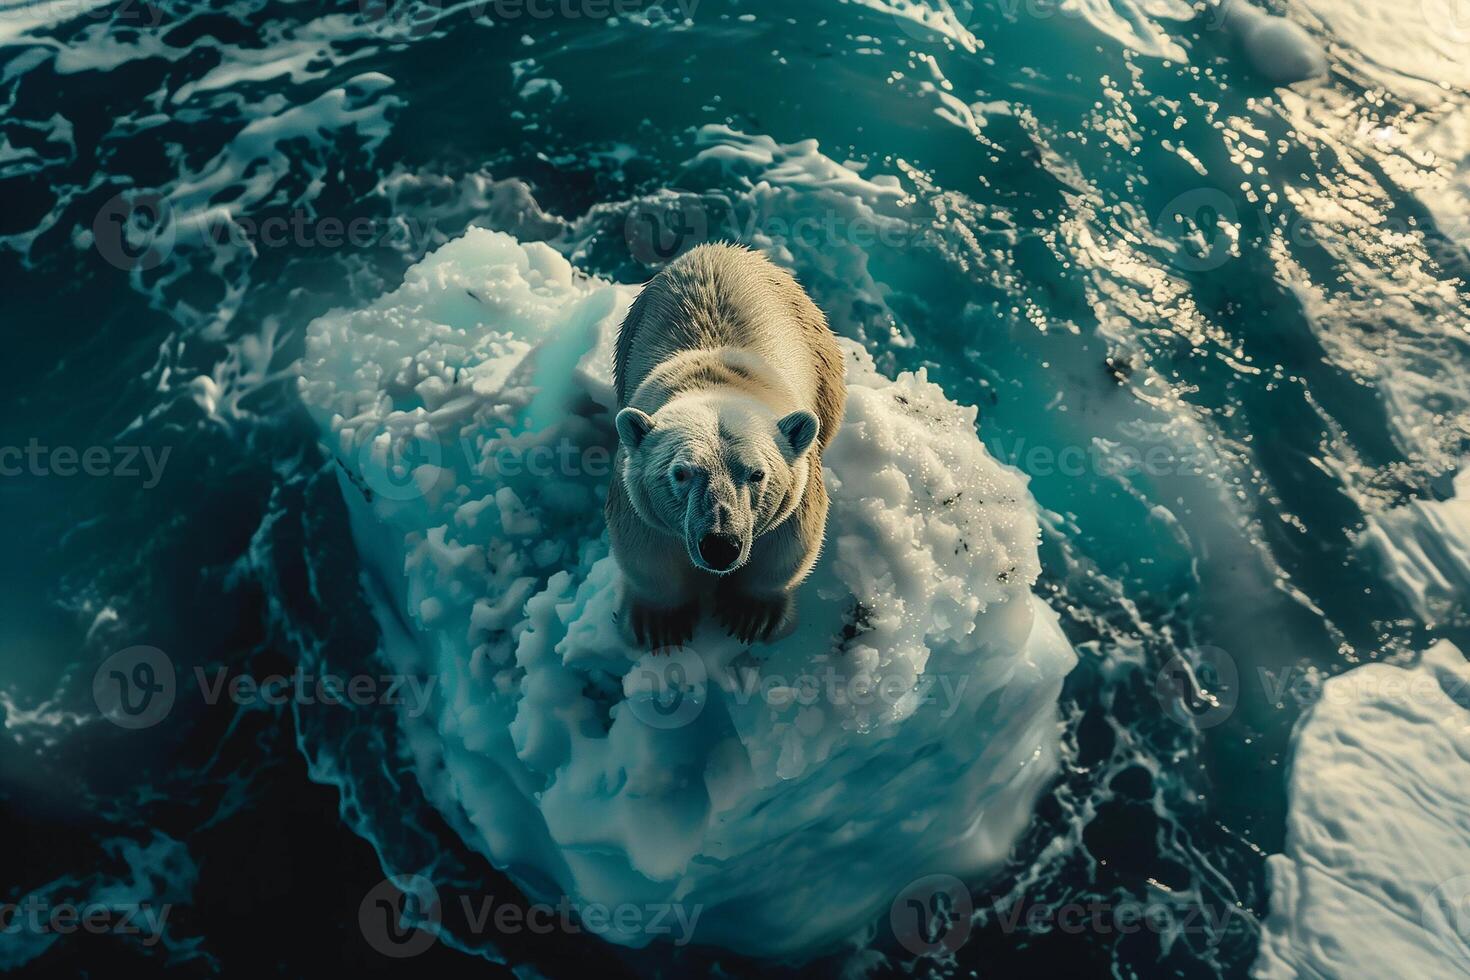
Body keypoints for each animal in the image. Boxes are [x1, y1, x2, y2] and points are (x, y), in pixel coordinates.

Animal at [602, 240, 846, 646]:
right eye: (681, 473)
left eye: (757, 474)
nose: (720, 545)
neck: (717, 382)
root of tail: (720, 248)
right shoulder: (634, 491)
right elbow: (646, 551)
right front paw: (661, 623)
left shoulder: (799, 481)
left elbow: (788, 545)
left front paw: (749, 613)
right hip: (629, 333)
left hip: (820, 354)